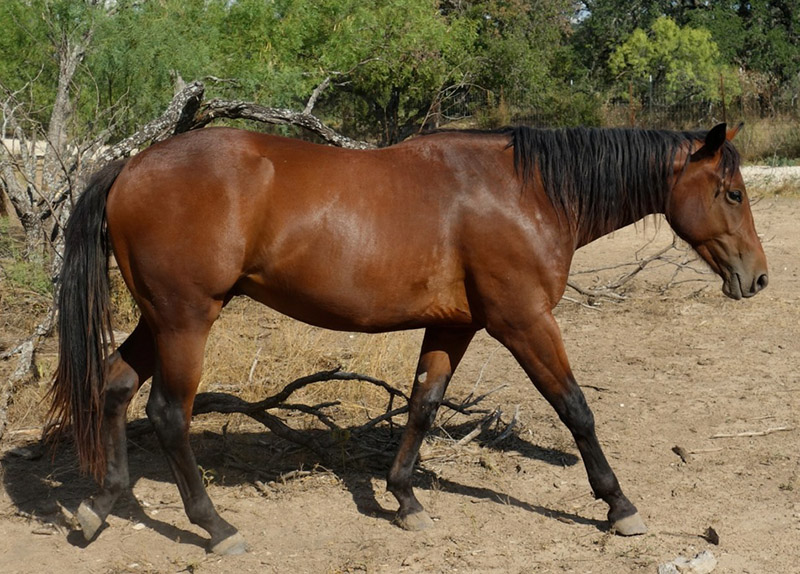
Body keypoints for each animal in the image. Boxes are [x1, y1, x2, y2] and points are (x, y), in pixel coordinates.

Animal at [47, 122, 764, 560]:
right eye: (731, 192)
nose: (757, 278)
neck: (525, 193)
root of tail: (131, 165)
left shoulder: (453, 325)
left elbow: (423, 405)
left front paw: (405, 497)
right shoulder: (524, 322)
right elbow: (576, 409)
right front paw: (618, 504)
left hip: (161, 319)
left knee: (112, 386)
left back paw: (97, 507)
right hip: (186, 321)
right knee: (169, 415)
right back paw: (215, 527)